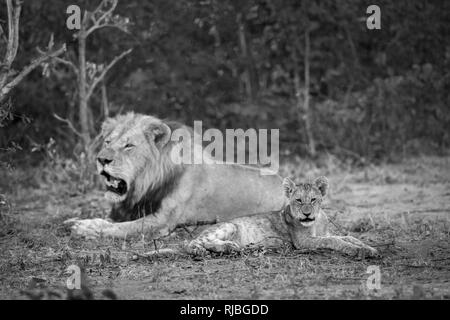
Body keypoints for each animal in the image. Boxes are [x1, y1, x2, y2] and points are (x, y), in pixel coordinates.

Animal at [67, 113, 284, 240]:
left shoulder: (162, 220)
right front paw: (74, 221)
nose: (102, 159)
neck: (146, 183)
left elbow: (122, 228)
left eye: (129, 145)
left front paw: (85, 229)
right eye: (107, 142)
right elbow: (110, 221)